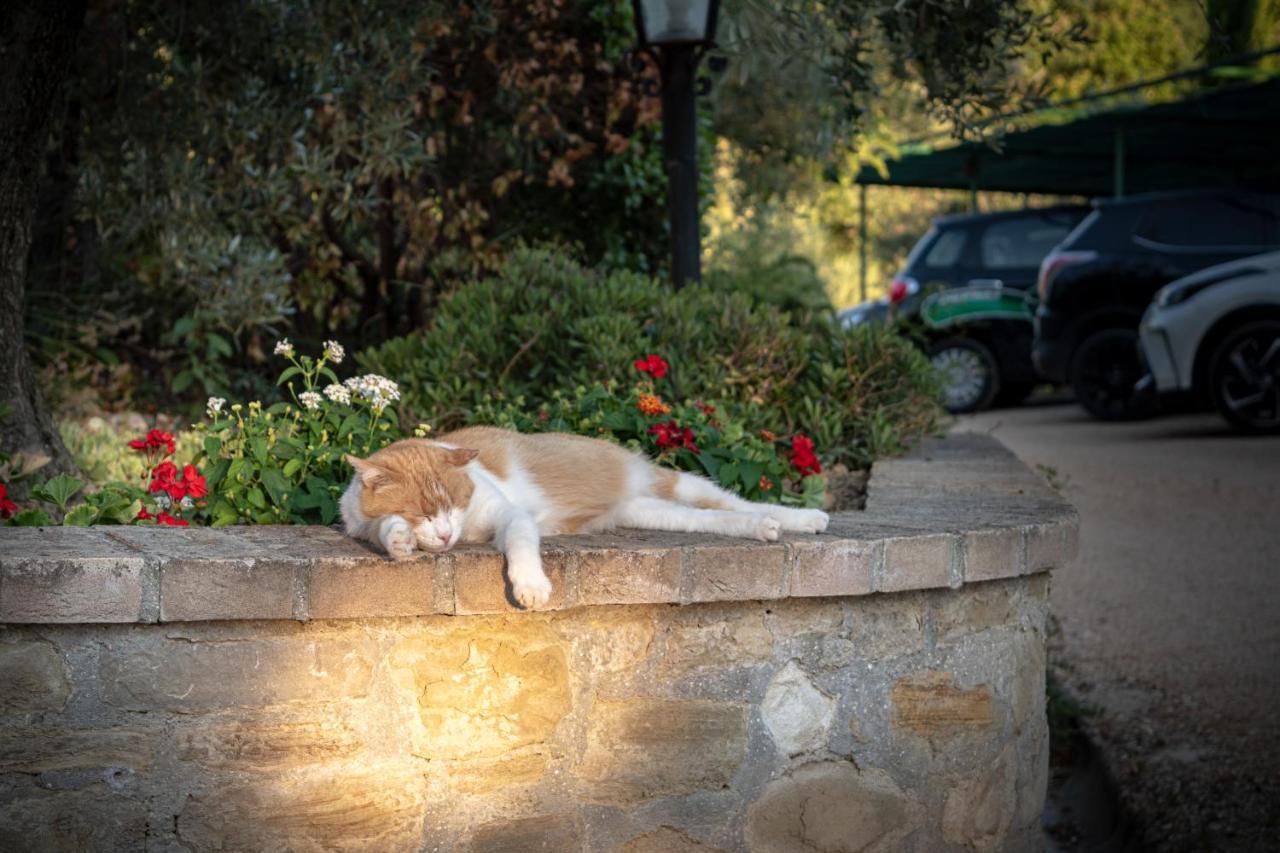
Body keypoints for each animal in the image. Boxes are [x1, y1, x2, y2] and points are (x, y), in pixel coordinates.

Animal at [340, 427, 834, 607]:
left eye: (454, 506)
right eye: (422, 514)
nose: (444, 537)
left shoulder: (511, 515)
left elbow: (521, 544)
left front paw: (531, 586)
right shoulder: (360, 522)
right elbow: (381, 528)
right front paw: (400, 539)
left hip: (680, 484)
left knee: (739, 502)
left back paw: (802, 517)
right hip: (652, 513)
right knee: (711, 520)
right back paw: (765, 529)